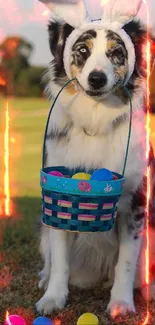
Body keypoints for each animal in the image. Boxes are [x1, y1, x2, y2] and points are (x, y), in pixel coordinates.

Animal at [36, 18, 155, 316]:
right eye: (82, 50)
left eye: (117, 53)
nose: (97, 78)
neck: (96, 117)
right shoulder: (60, 199)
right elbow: (60, 258)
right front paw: (53, 297)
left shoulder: (136, 203)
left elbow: (126, 261)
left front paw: (121, 302)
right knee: (50, 258)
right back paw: (44, 277)